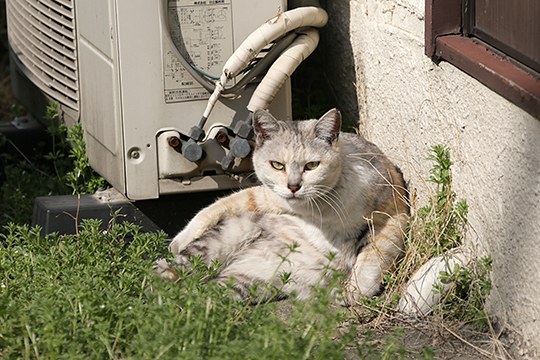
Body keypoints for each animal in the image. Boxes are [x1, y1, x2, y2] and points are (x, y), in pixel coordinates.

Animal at [156, 108, 410, 302]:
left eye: (312, 165)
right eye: (277, 165)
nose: (293, 186)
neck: (319, 211)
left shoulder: (393, 212)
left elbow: (375, 254)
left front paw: (355, 289)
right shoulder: (269, 197)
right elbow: (222, 204)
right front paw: (180, 239)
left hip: (241, 282)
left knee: (199, 296)